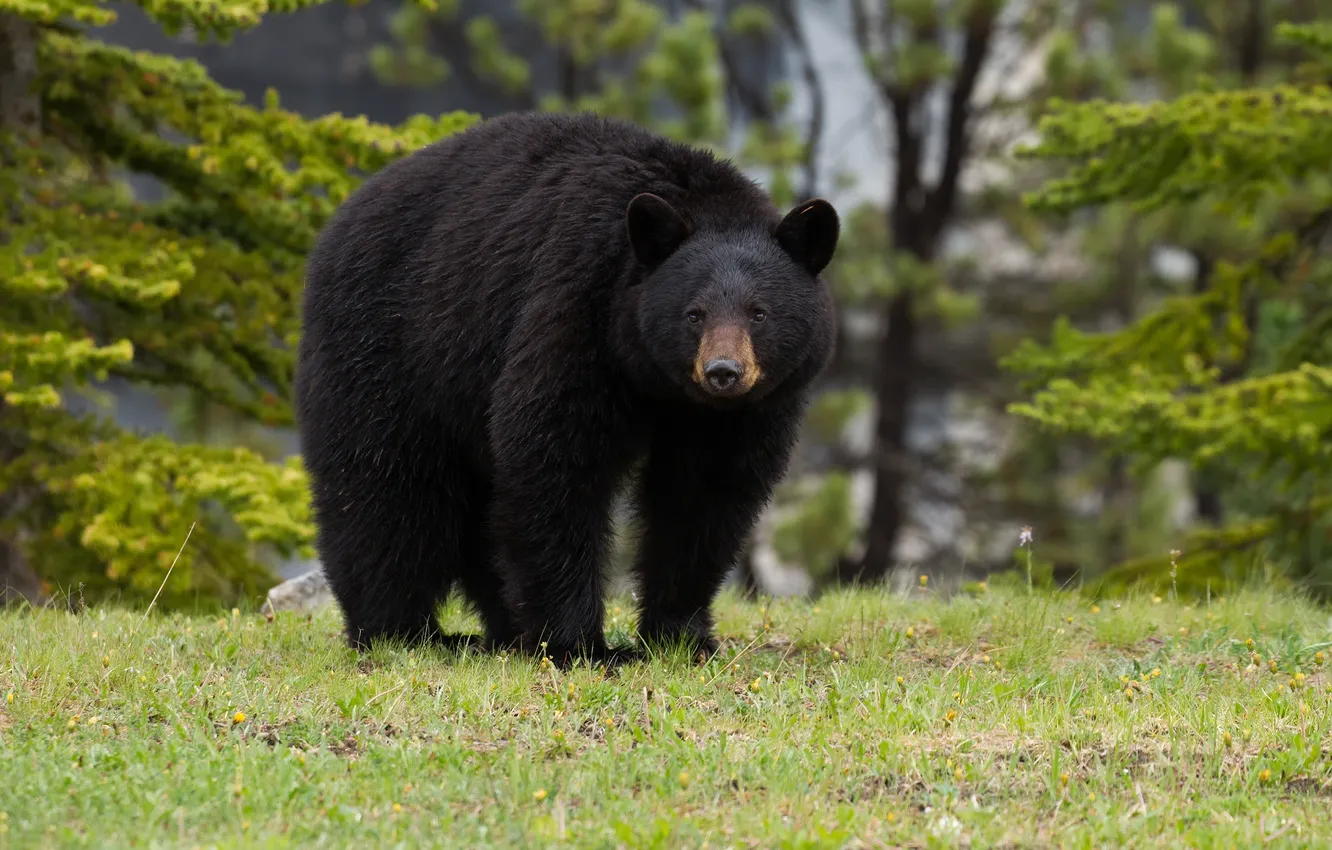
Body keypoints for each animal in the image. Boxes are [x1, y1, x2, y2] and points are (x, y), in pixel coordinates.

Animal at [294, 111, 839, 666]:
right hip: (389, 346)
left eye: (759, 313)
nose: (723, 371)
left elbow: (704, 494)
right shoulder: (576, 309)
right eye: (694, 313)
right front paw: (581, 645)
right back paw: (401, 631)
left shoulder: (743, 412)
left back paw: (501, 629)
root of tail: (339, 219)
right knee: (383, 488)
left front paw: (680, 636)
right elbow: (555, 461)